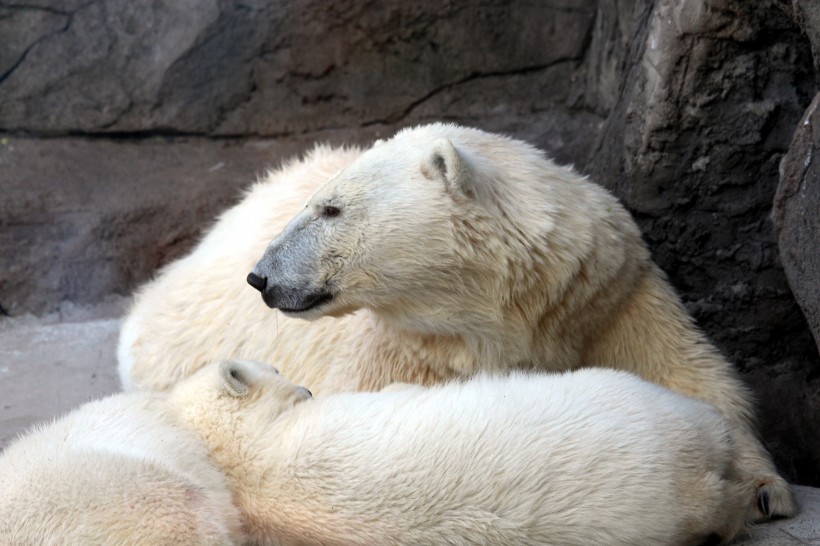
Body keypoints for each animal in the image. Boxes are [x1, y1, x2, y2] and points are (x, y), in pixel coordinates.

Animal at [120, 123, 796, 520]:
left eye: (331, 209)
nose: (261, 277)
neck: (514, 309)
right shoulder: (408, 347)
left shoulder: (606, 295)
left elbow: (692, 376)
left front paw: (767, 489)